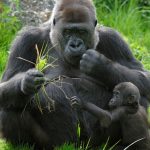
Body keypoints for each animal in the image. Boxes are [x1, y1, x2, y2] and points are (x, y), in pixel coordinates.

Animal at [0, 0, 150, 149]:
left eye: (81, 32)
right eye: (68, 31)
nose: (75, 45)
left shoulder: (113, 38)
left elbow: (143, 77)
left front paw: (101, 66)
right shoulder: (27, 39)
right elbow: (6, 83)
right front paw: (27, 81)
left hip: (96, 141)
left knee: (137, 98)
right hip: (54, 143)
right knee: (9, 107)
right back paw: (26, 145)